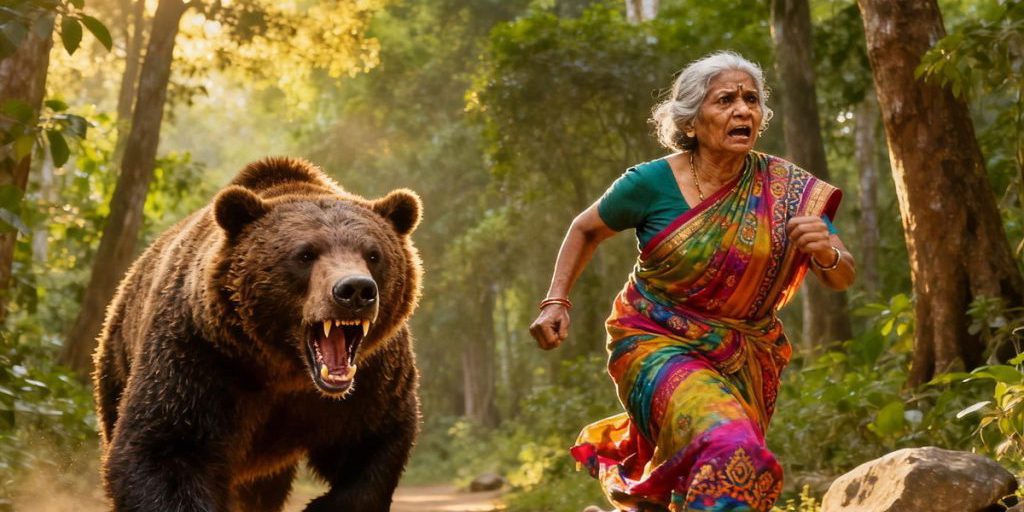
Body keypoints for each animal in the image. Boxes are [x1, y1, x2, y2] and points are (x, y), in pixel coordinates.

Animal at [92, 157, 423, 512]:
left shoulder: (370, 381)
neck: (286, 368)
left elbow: (374, 443)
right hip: (117, 364)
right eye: (305, 254)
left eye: (373, 254)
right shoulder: (200, 355)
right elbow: (164, 450)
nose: (355, 290)